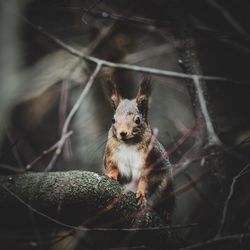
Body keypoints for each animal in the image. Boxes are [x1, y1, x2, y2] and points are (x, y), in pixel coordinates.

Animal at [102, 76, 175, 219]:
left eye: (138, 120)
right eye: (113, 120)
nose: (122, 133)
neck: (128, 144)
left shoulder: (150, 161)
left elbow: (145, 180)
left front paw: (141, 195)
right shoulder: (111, 154)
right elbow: (112, 167)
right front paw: (111, 175)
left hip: (167, 185)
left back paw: (166, 212)